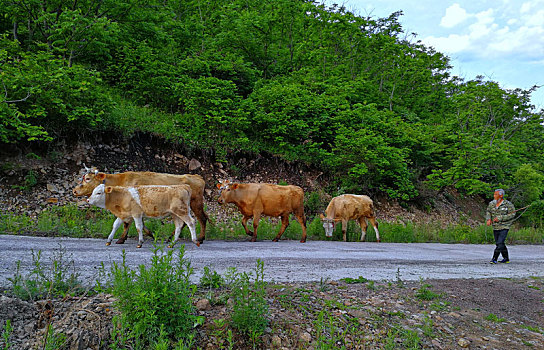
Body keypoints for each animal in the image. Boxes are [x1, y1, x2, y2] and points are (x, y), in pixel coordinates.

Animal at [72, 166, 208, 243]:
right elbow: (139, 224)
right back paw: (171, 238)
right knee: (185, 222)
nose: (74, 190)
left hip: (195, 204)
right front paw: (150, 234)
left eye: (87, 178)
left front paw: (121, 239)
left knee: (201, 218)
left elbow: (128, 224)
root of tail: (197, 177)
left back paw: (200, 238)